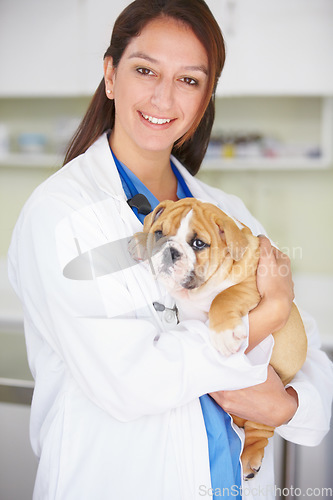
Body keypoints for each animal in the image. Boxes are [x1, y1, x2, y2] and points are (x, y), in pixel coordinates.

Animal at [127, 197, 306, 478]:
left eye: (199, 244)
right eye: (159, 233)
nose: (170, 252)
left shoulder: (250, 286)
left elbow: (223, 297)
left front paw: (223, 334)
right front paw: (140, 239)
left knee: (262, 429)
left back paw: (251, 456)